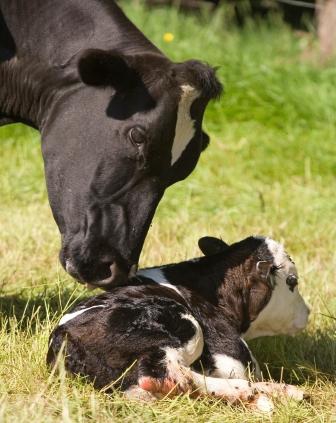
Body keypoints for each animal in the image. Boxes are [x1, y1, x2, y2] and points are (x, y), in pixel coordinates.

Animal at [47, 235, 310, 410]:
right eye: (292, 281)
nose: (308, 312)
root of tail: (63, 334)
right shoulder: (231, 355)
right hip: (183, 324)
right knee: (164, 373)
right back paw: (264, 393)